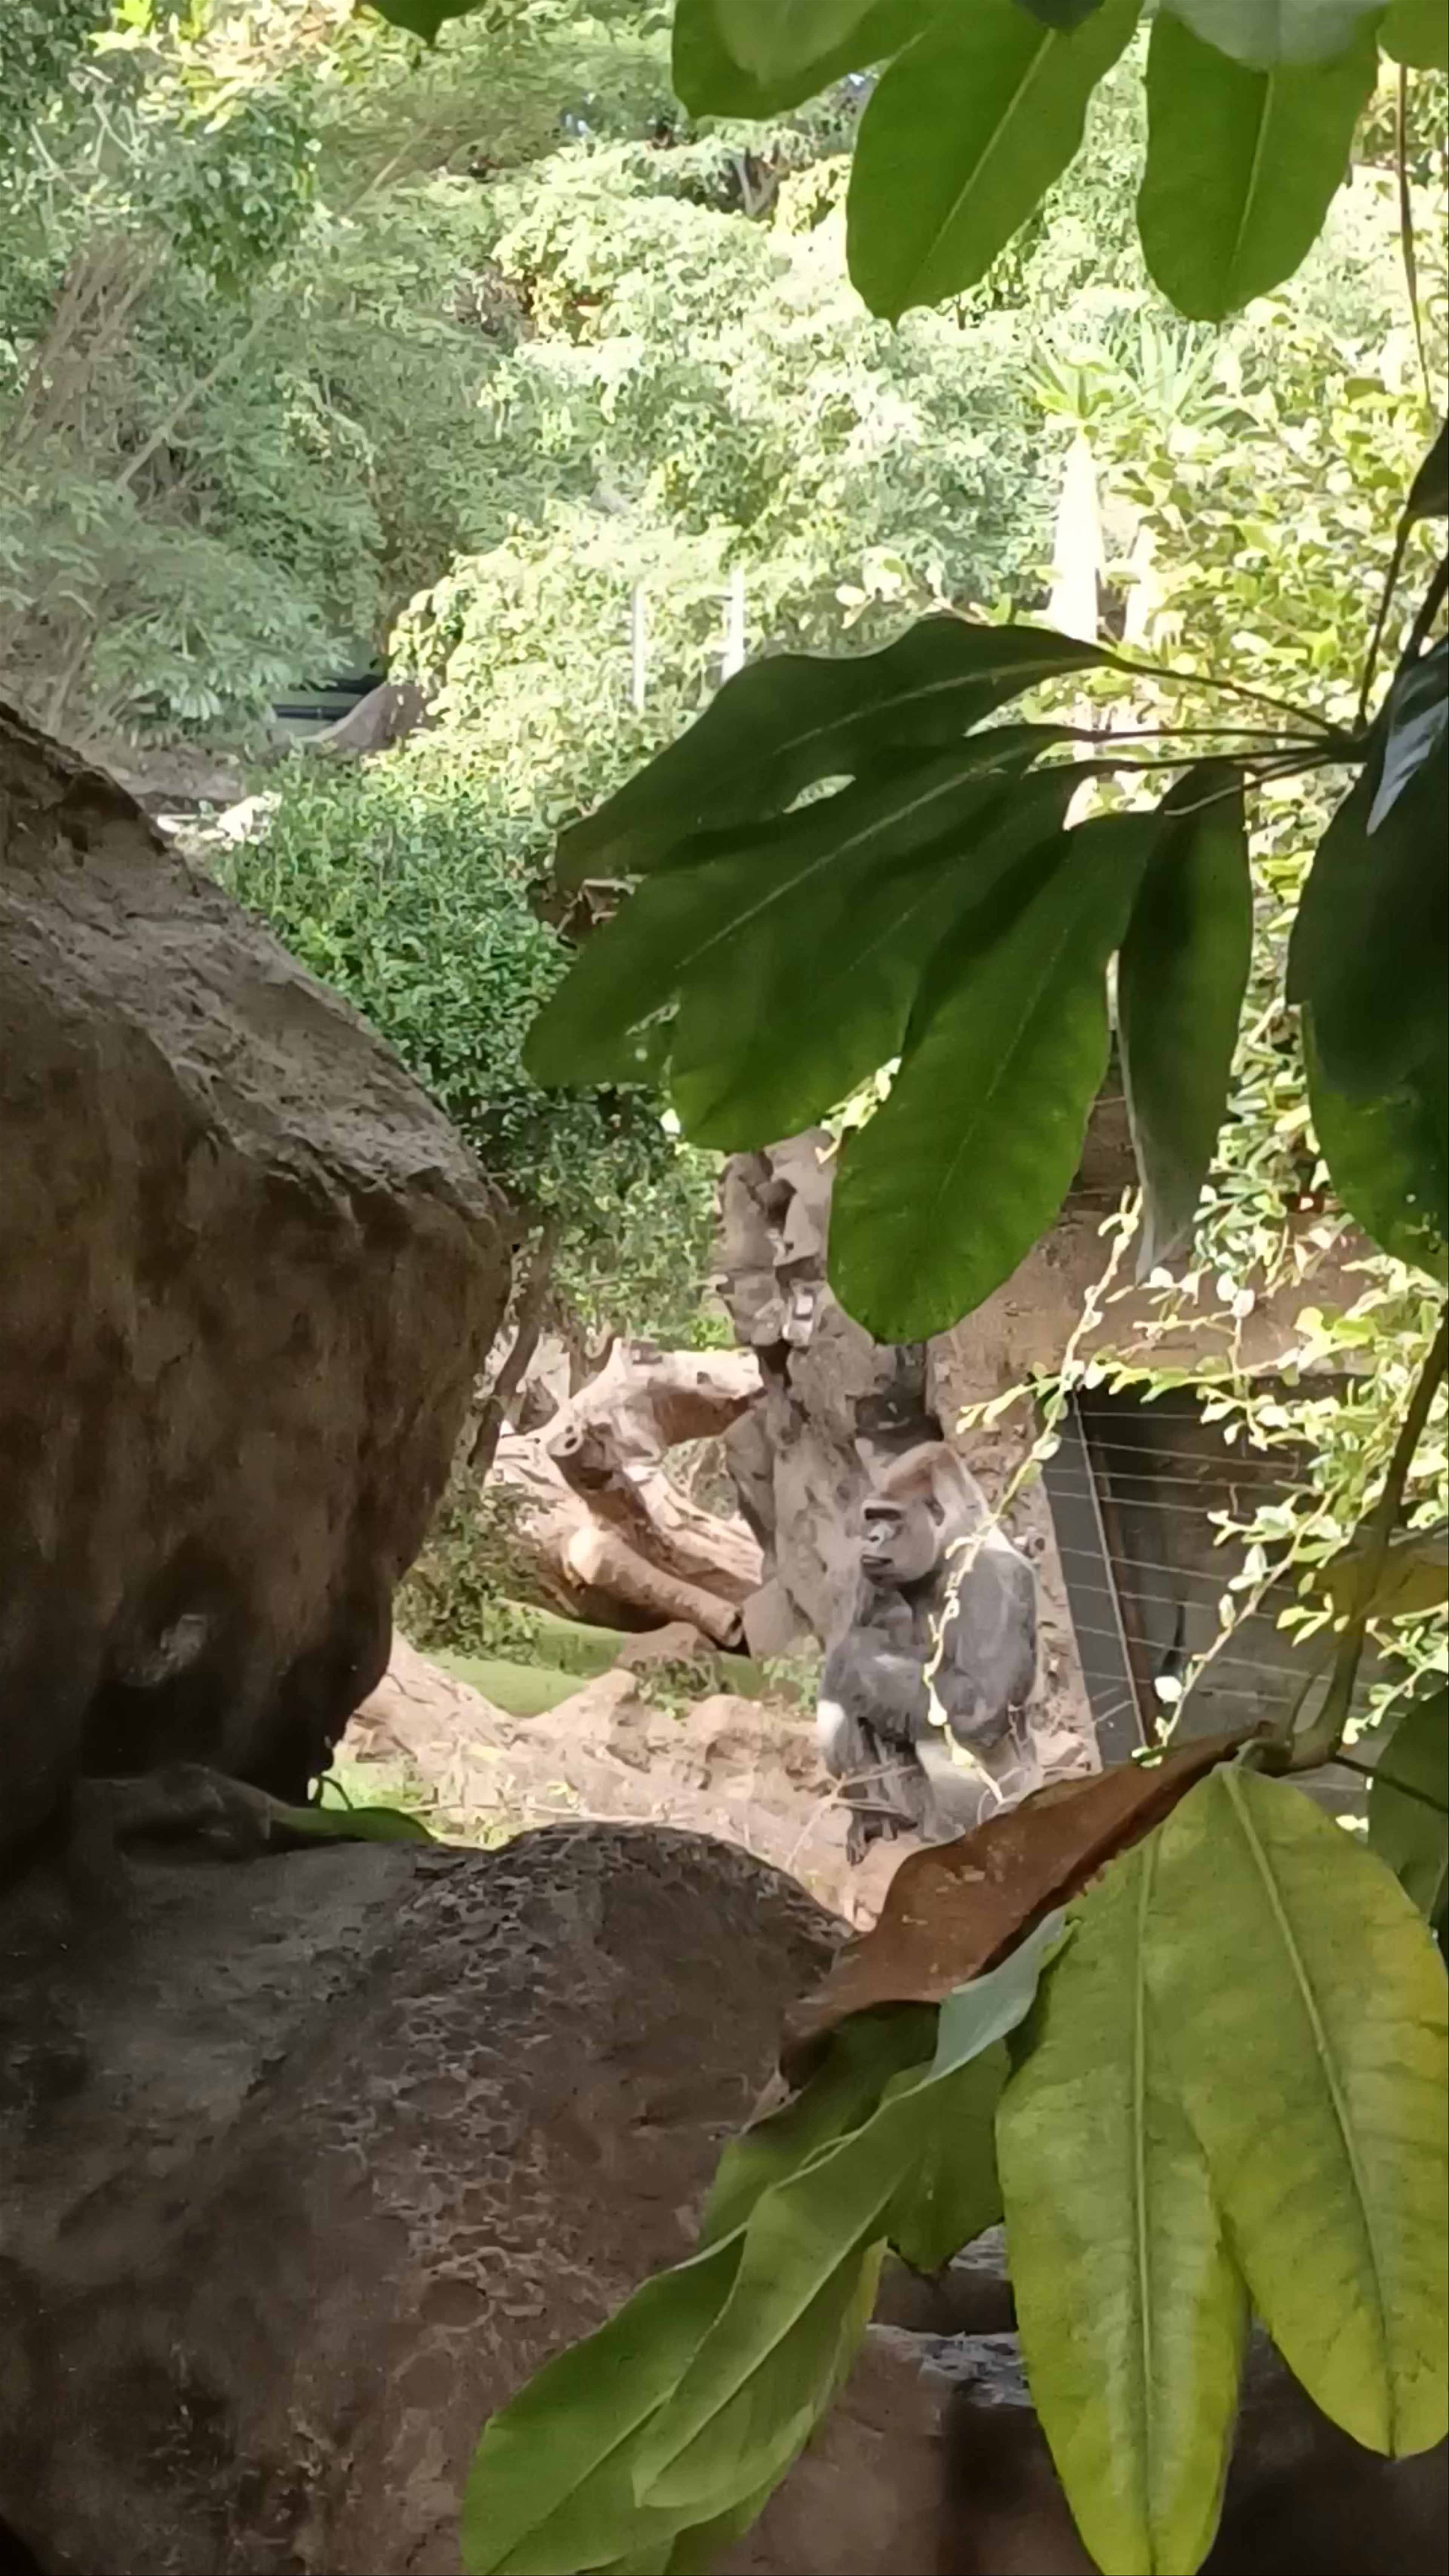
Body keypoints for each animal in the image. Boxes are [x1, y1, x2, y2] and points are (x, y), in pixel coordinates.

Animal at [814, 1444, 1038, 1865]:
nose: (871, 1537)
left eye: (892, 1517)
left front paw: (852, 1656)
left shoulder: (993, 1579)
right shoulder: (870, 1577)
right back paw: (873, 1818)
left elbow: (981, 1705)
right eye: (872, 1516)